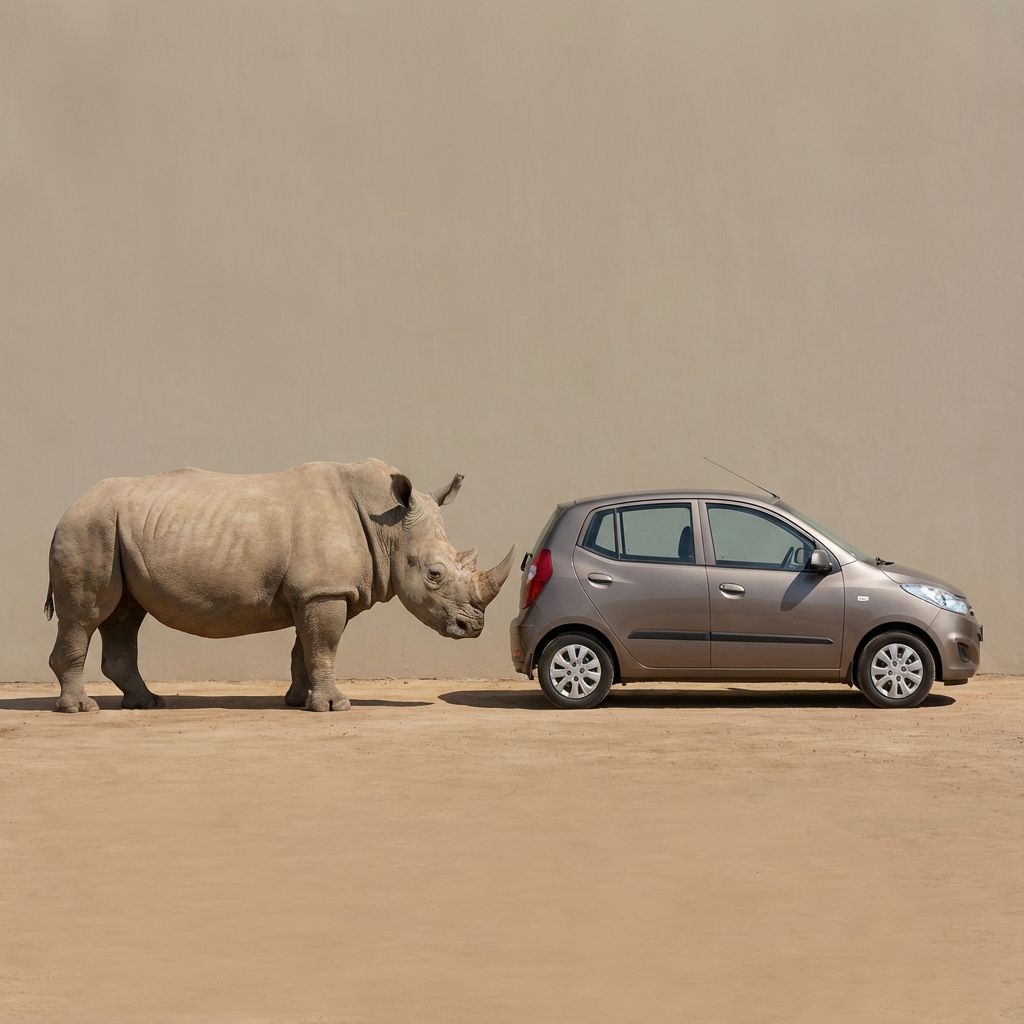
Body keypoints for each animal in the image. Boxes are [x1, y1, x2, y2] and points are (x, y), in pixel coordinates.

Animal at [44, 459, 514, 713]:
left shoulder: (315, 591)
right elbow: (324, 645)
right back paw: (82, 710)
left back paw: (148, 703)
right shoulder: (325, 590)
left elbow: (305, 648)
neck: (389, 526)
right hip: (89, 528)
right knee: (87, 615)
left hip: (111, 530)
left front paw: (299, 700)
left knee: (124, 615)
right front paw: (334, 707)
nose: (473, 627)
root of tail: (66, 510)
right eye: (434, 574)